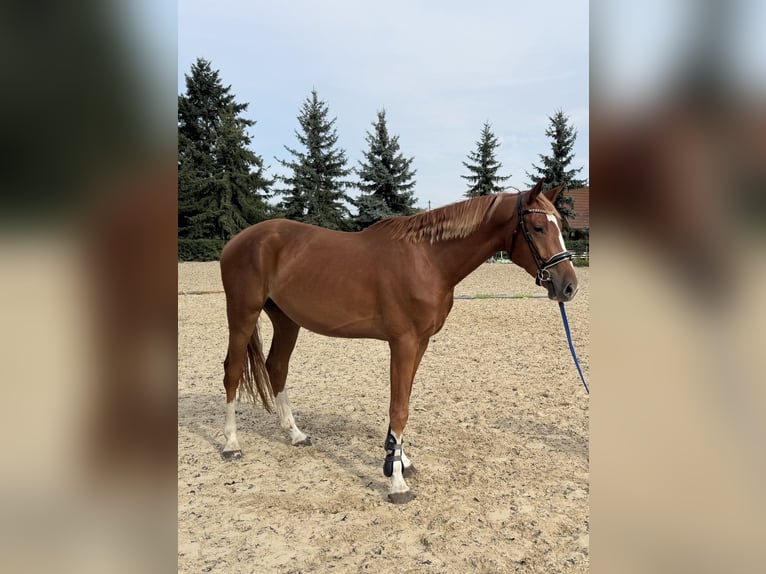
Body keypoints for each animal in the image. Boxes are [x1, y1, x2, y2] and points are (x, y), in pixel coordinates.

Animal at [218, 179, 578, 503]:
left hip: (286, 319)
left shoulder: (420, 343)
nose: (569, 286)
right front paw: (397, 483)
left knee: (276, 367)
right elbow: (399, 407)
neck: (428, 259)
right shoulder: (403, 342)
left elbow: (403, 402)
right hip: (242, 313)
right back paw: (231, 444)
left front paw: (399, 459)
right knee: (232, 371)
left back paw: (295, 434)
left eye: (560, 226)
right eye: (537, 227)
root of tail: (239, 240)